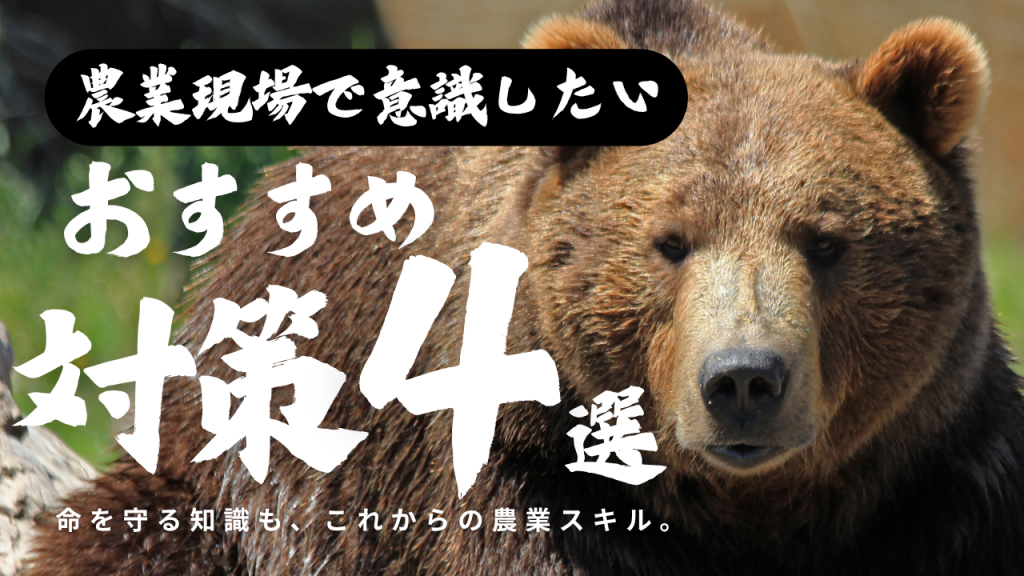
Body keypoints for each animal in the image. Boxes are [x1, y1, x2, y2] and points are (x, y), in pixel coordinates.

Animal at [23, 0, 1024, 574]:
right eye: (669, 243)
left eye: (826, 240)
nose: (744, 379)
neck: (748, 510)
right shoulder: (515, 470)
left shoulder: (936, 473)